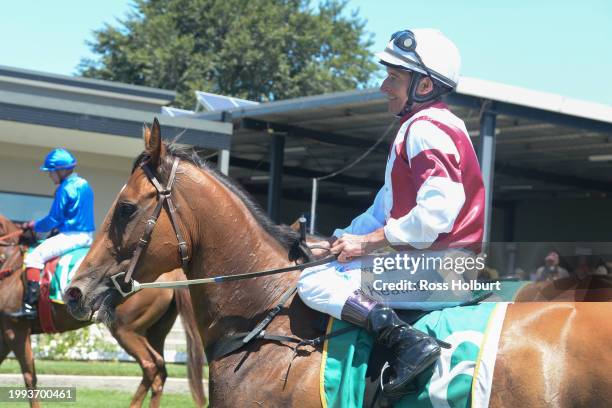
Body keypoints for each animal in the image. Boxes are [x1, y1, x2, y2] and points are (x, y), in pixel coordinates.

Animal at [0, 215, 206, 406]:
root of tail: (171, 274)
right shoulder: (6, 333)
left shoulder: (15, 330)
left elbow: (29, 376)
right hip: (155, 332)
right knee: (160, 372)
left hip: (125, 329)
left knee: (151, 365)